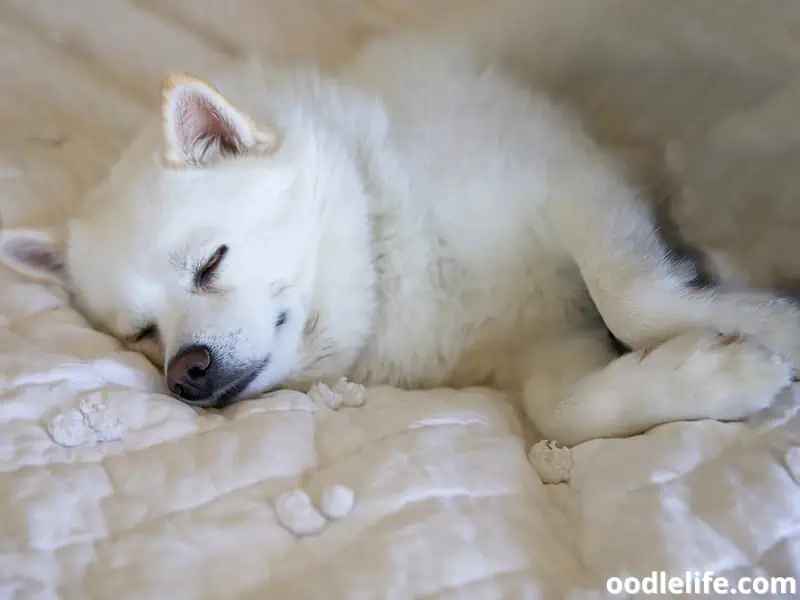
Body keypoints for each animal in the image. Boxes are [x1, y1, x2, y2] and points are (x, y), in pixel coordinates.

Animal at [1, 32, 800, 446]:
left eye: (210, 264)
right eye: (142, 334)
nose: (184, 372)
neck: (388, 241)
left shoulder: (575, 186)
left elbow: (632, 298)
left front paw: (767, 325)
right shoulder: (545, 344)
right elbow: (565, 411)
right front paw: (714, 375)